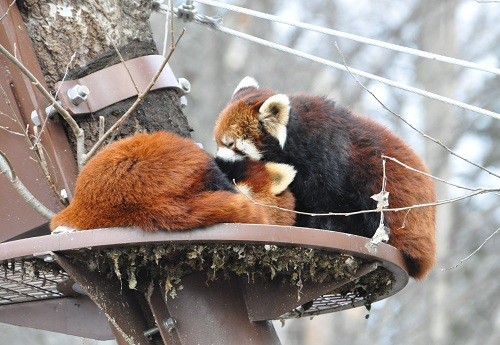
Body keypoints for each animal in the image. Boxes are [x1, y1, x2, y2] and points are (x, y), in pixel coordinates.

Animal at [215, 76, 438, 278]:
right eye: (217, 142)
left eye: (230, 144)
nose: (217, 160)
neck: (297, 139)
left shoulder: (326, 161)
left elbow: (327, 204)